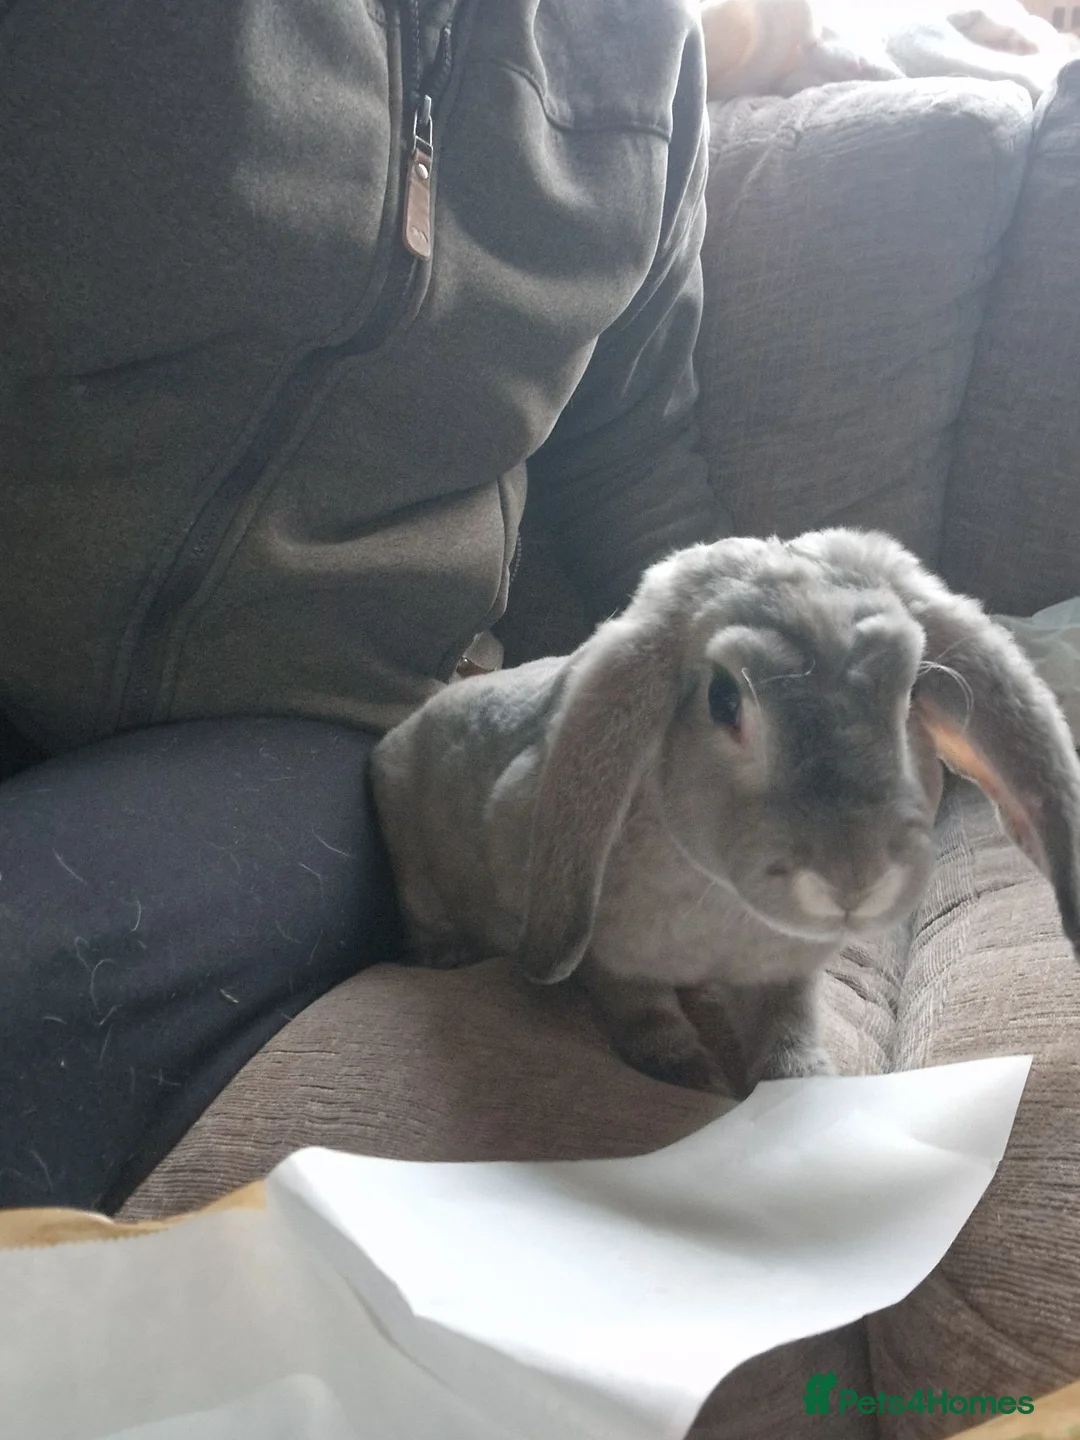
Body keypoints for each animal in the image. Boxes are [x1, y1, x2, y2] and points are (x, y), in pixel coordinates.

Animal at [371, 529, 1080, 1093]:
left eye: (911, 692)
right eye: (723, 700)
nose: (854, 880)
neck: (726, 914)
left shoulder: (784, 974)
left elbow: (788, 1029)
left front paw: (803, 1083)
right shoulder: (613, 962)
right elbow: (642, 1013)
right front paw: (692, 1075)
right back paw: (443, 956)